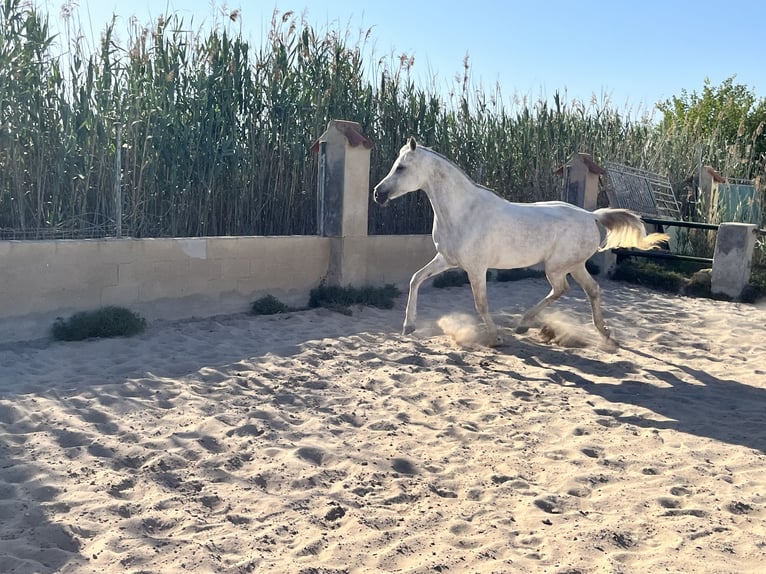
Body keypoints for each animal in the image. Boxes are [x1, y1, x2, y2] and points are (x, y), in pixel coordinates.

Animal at [376, 140, 668, 346]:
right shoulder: (447, 260)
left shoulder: (476, 268)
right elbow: (416, 279)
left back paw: (525, 323)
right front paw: (408, 326)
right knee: (592, 290)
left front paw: (495, 338)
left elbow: (481, 303)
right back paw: (603, 333)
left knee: (562, 289)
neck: (463, 211)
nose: (378, 194)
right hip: (575, 265)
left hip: (557, 267)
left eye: (401, 167)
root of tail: (591, 215)